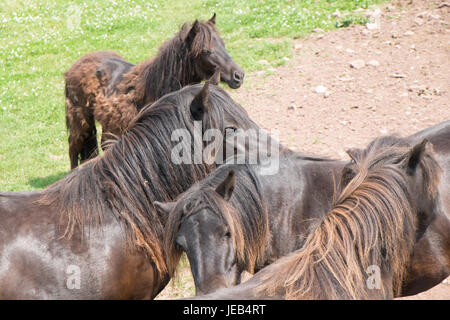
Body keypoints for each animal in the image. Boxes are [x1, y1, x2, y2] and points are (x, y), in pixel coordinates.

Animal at [63, 14, 244, 170]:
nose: (238, 76)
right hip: (80, 124)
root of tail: (77, 64)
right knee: (73, 150)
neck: (155, 87)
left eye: (223, 45)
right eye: (206, 51)